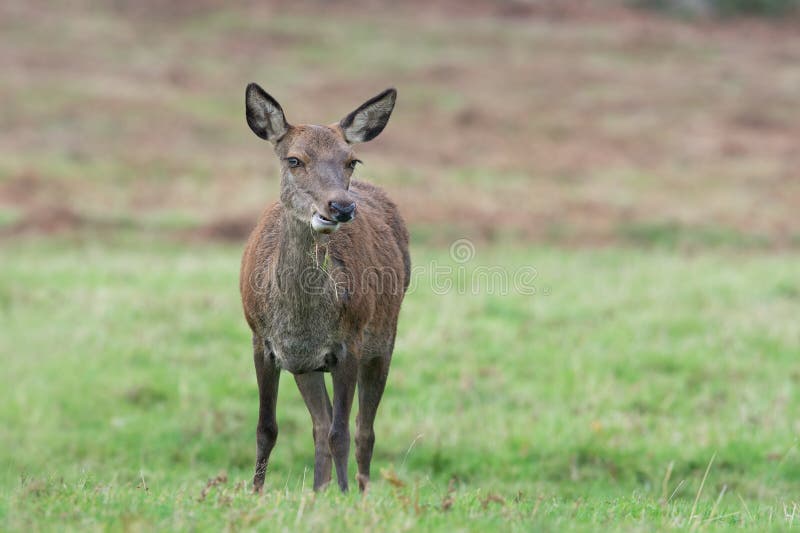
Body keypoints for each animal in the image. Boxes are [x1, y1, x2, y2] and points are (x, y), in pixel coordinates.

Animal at [239, 83, 410, 493]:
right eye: (294, 160)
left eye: (352, 161)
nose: (342, 207)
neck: (300, 319)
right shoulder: (264, 341)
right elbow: (266, 429)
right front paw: (255, 492)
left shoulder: (349, 343)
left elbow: (342, 434)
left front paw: (345, 496)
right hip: (306, 366)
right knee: (319, 425)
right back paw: (318, 492)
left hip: (383, 339)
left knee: (364, 431)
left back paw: (360, 493)